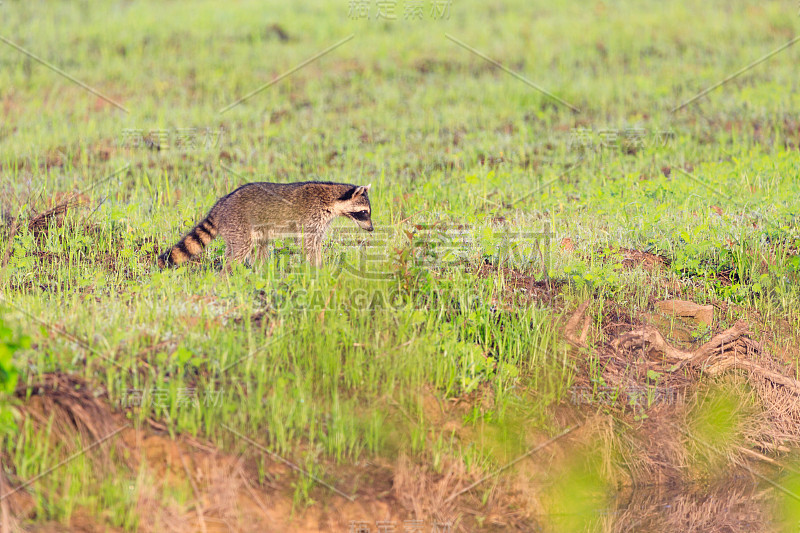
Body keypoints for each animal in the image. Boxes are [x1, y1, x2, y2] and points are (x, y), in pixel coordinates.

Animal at [158, 181, 374, 268]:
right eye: (365, 212)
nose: (371, 228)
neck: (331, 197)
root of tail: (221, 205)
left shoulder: (320, 223)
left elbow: (317, 244)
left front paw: (321, 266)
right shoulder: (310, 218)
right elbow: (308, 245)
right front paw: (316, 268)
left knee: (257, 249)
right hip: (238, 223)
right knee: (239, 250)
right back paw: (229, 273)